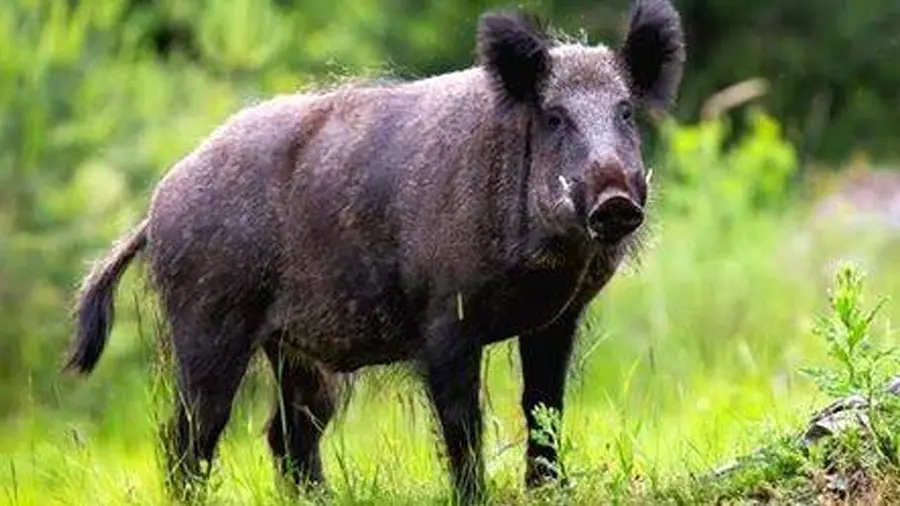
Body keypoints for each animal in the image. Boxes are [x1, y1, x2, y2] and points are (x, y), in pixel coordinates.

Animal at [64, 0, 685, 502]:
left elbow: (544, 406)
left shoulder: (557, 319)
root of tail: (156, 207)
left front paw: (550, 491)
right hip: (207, 321)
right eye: (555, 117)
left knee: (286, 434)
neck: (547, 266)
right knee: (189, 435)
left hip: (294, 350)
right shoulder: (445, 319)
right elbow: (462, 424)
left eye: (625, 111)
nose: (615, 200)